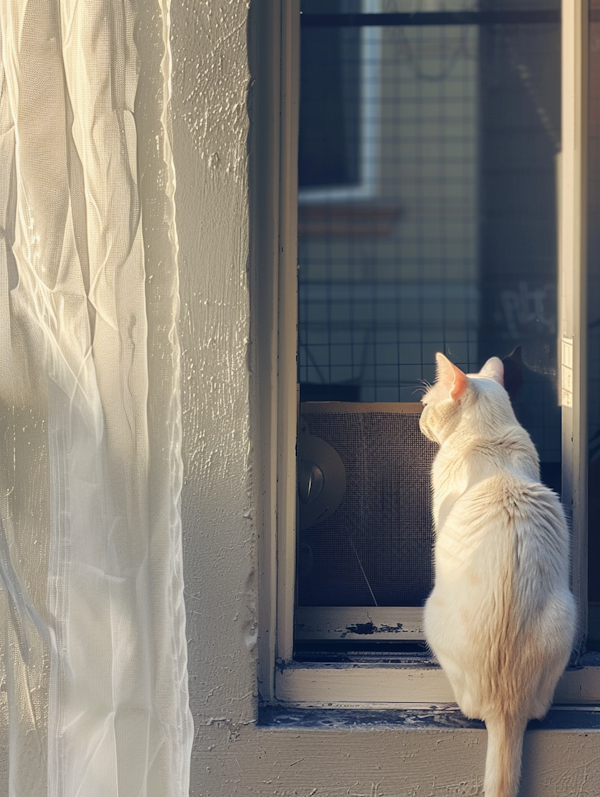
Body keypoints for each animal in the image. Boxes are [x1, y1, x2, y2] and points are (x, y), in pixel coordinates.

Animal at [420, 354, 576, 796]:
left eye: (425, 403)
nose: (419, 418)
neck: (488, 439)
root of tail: (505, 709)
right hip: (566, 614)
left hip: (429, 612)